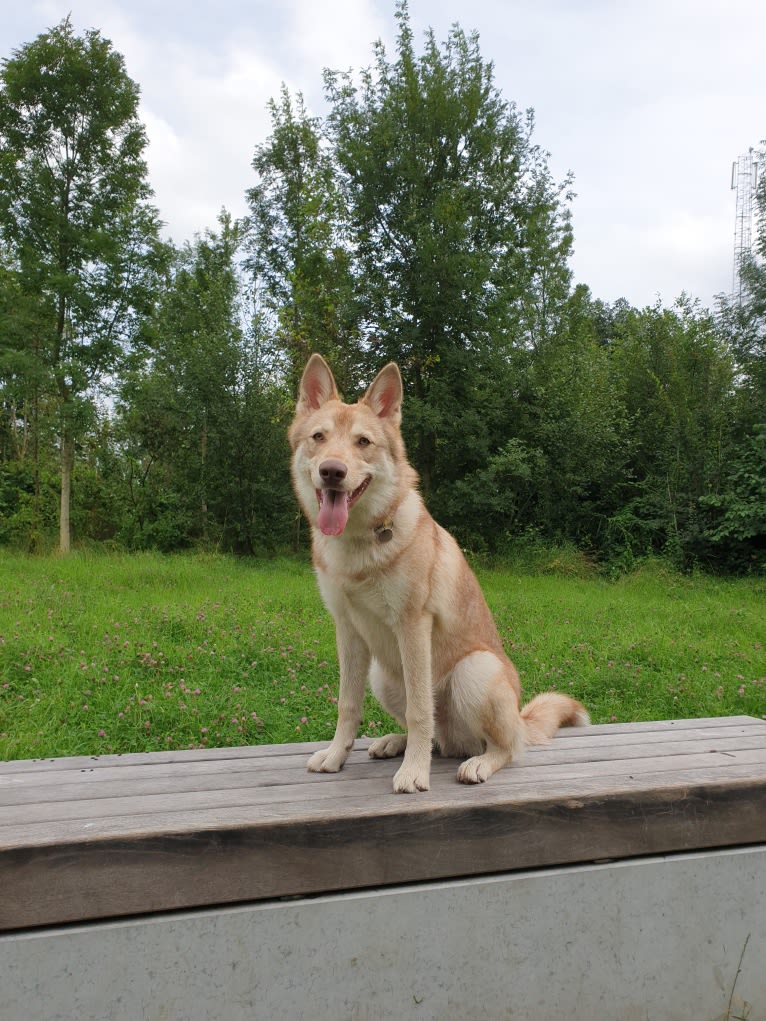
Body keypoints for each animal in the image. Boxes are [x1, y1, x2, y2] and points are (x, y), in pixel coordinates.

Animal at [288, 355, 588, 792]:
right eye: (318, 437)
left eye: (363, 442)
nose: (331, 471)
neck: (362, 542)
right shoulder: (347, 629)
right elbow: (348, 704)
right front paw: (335, 756)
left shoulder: (413, 625)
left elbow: (419, 711)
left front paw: (413, 773)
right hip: (382, 674)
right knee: (436, 738)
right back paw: (396, 743)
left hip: (473, 672)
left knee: (505, 747)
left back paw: (477, 762)